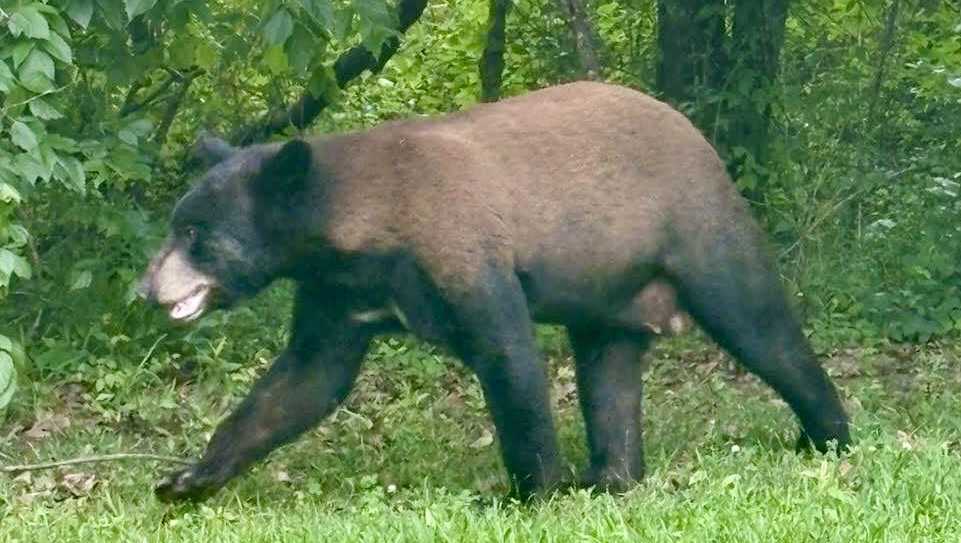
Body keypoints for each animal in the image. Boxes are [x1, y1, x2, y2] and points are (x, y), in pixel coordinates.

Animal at [139, 81, 850, 502]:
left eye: (196, 233)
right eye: (179, 222)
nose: (147, 287)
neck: (361, 227)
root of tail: (695, 132)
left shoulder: (458, 247)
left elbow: (507, 355)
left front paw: (530, 492)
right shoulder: (338, 290)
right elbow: (304, 379)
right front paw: (186, 478)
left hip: (697, 230)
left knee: (760, 325)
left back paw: (828, 437)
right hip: (609, 288)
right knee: (608, 372)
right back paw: (611, 476)